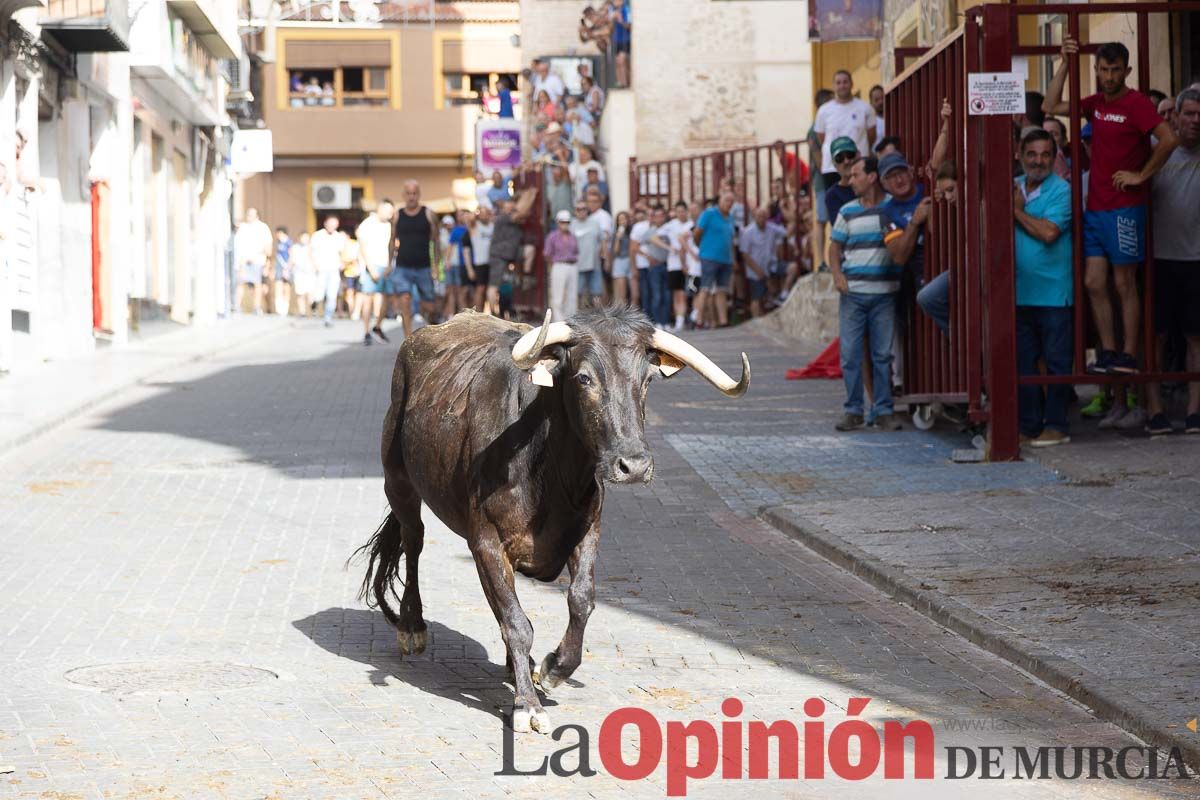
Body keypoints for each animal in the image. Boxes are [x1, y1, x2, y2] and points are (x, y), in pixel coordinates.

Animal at [352, 307, 748, 734]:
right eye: (584, 378)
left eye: (646, 379)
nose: (634, 465)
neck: (548, 470)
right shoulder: (487, 542)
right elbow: (516, 622)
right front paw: (527, 705)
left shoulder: (588, 530)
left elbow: (580, 600)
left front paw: (553, 668)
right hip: (398, 481)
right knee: (414, 540)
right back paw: (412, 627)